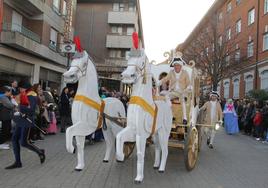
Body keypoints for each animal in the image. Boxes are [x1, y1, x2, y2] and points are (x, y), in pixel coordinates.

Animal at [116, 49, 173, 183]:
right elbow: (119, 137)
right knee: (158, 148)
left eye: (141, 62)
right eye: (128, 60)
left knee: (165, 149)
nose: (127, 76)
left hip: (164, 133)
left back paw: (161, 169)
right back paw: (156, 165)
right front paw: (120, 156)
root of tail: (167, 104)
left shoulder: (140, 135)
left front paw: (139, 178)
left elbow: (140, 154)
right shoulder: (131, 130)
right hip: (156, 134)